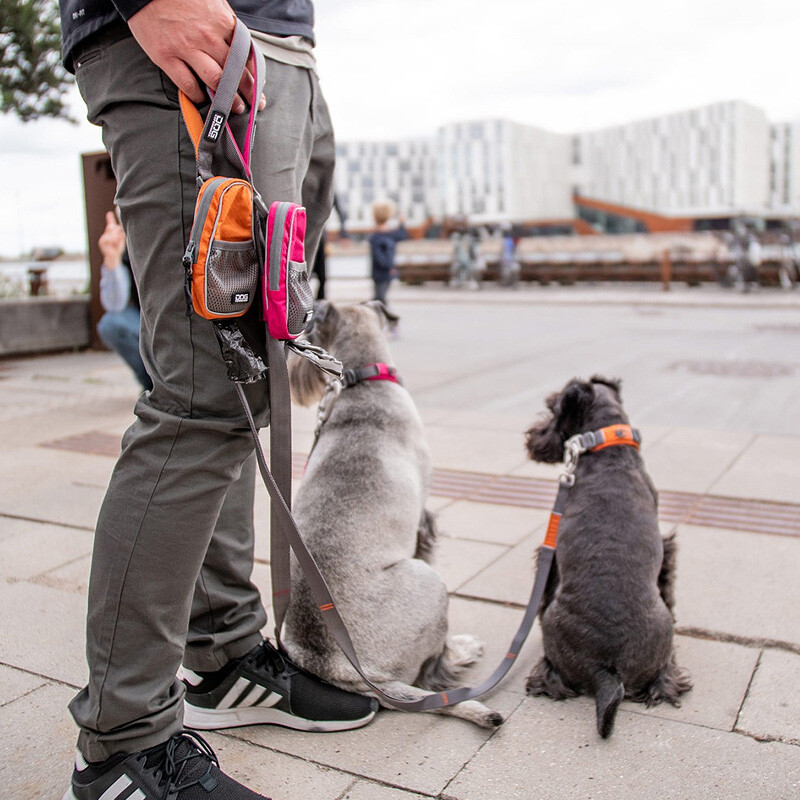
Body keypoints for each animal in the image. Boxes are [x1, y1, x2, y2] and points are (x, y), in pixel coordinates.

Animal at [284, 302, 504, 732]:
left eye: (309, 333)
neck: (361, 380)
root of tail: (338, 666)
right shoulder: (424, 519)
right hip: (432, 586)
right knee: (430, 671)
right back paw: (462, 651)